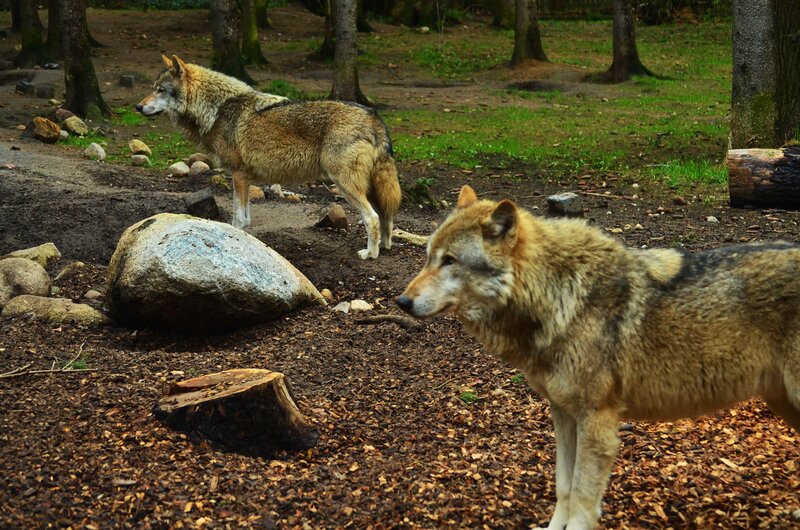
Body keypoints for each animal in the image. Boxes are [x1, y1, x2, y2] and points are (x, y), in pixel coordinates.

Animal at [136, 55, 401, 259]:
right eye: (153, 88)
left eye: (160, 91)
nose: (138, 107)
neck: (217, 109)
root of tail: (372, 115)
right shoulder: (242, 177)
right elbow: (241, 216)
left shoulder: (239, 174)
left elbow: (240, 219)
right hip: (371, 188)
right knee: (386, 217)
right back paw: (385, 247)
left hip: (346, 186)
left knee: (372, 218)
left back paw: (370, 254)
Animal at [398, 185, 800, 529]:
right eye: (428, 257)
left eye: (450, 261)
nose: (401, 301)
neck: (559, 295)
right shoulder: (563, 415)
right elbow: (563, 487)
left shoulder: (598, 422)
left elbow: (581, 499)